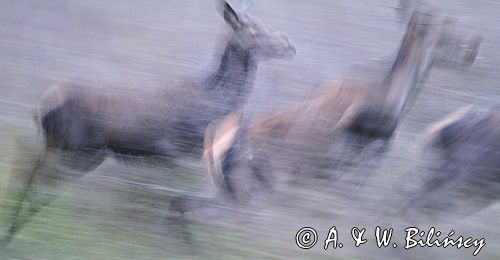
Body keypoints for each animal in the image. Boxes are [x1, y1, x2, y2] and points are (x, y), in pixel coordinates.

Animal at [0, 0, 296, 247]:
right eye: (253, 30)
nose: (289, 44)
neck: (215, 103)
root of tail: (41, 106)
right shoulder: (181, 150)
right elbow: (183, 198)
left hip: (83, 152)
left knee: (34, 170)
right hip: (73, 146)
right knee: (30, 167)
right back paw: (12, 229)